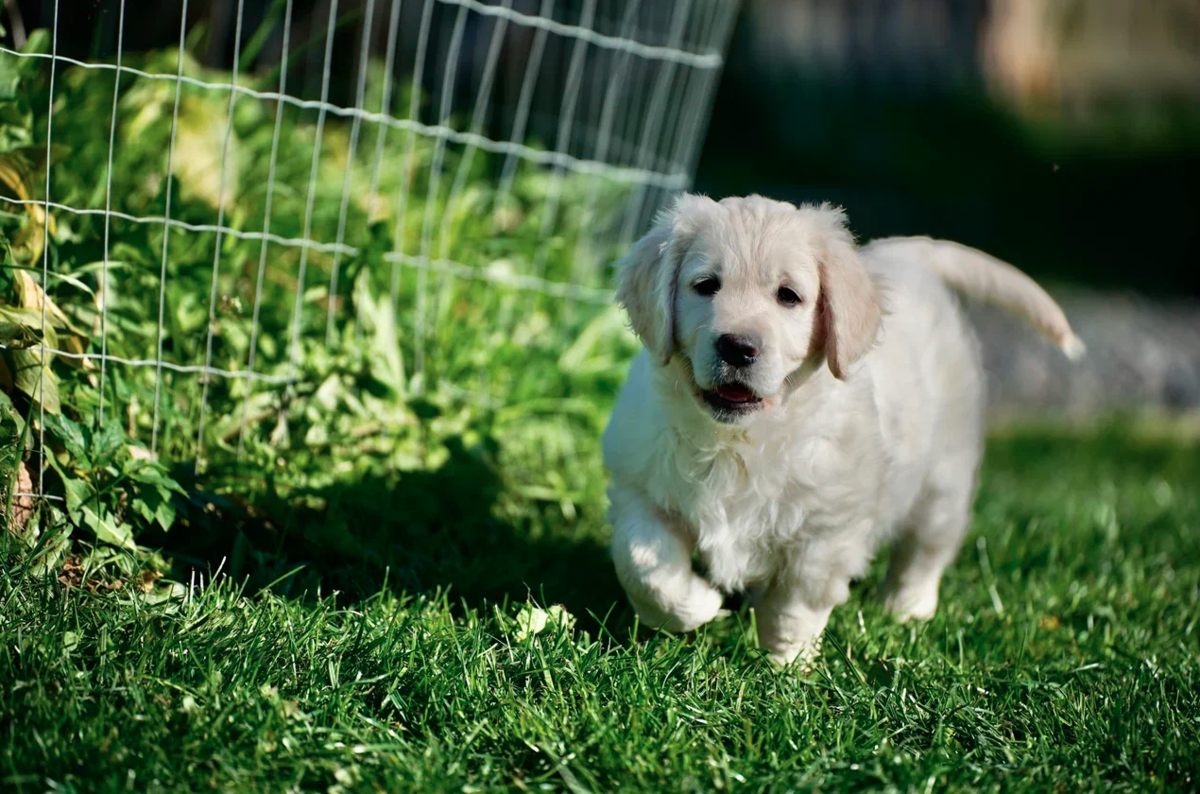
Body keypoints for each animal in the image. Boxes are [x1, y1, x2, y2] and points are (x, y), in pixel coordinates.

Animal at [604, 195, 1084, 666]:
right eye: (705, 285)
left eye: (788, 296)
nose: (737, 347)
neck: (741, 440)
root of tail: (907, 254)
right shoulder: (640, 489)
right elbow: (644, 566)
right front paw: (699, 605)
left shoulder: (826, 530)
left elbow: (796, 603)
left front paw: (786, 666)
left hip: (945, 474)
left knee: (926, 549)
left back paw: (907, 609)